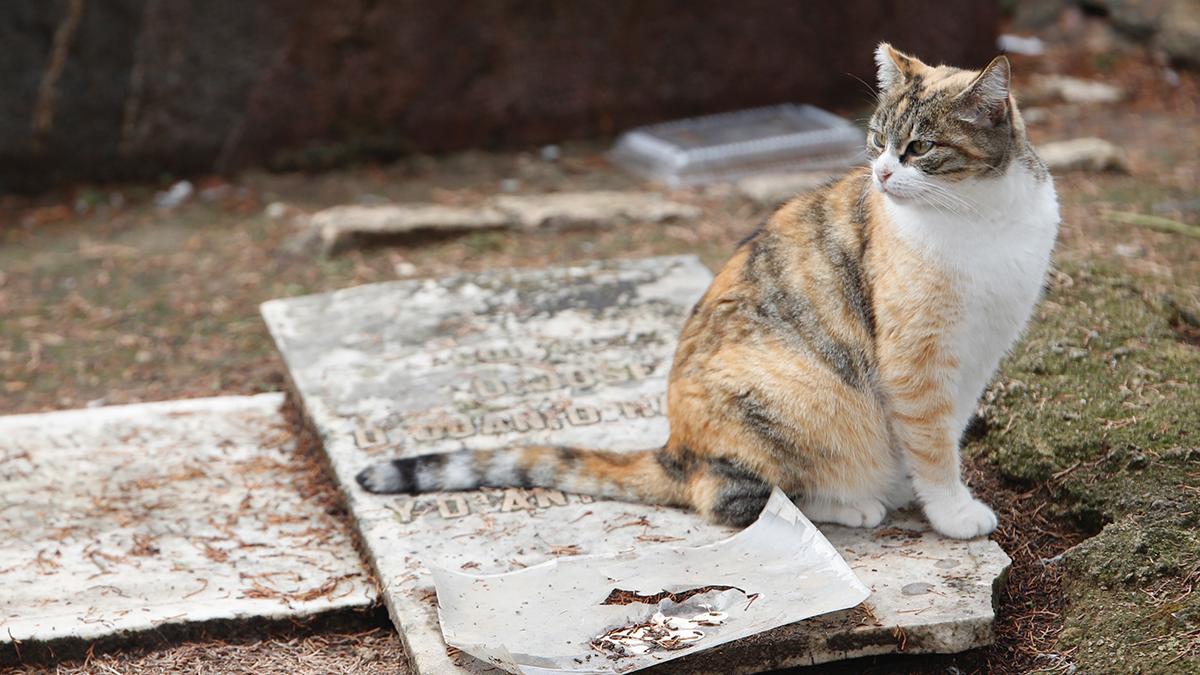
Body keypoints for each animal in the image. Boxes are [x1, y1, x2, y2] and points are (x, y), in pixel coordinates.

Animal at [355, 44, 1060, 538]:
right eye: (876, 141)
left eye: (919, 147)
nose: (882, 174)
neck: (982, 217)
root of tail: (675, 450)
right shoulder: (916, 361)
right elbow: (932, 444)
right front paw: (952, 512)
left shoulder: (978, 356)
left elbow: (943, 435)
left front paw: (934, 492)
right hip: (793, 391)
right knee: (740, 500)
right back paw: (853, 503)